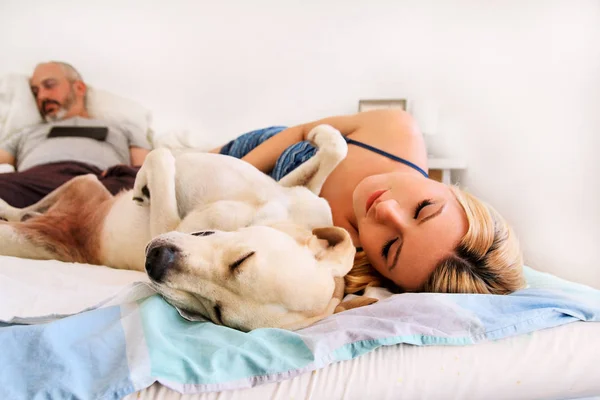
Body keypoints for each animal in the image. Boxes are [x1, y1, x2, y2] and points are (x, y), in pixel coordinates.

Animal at [0, 126, 376, 332]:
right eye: (243, 259)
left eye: (217, 314)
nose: (155, 259)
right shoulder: (294, 192)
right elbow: (335, 151)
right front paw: (320, 134)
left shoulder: (167, 224)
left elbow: (161, 156)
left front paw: (147, 180)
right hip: (85, 182)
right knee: (28, 208)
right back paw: (10, 207)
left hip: (42, 228)